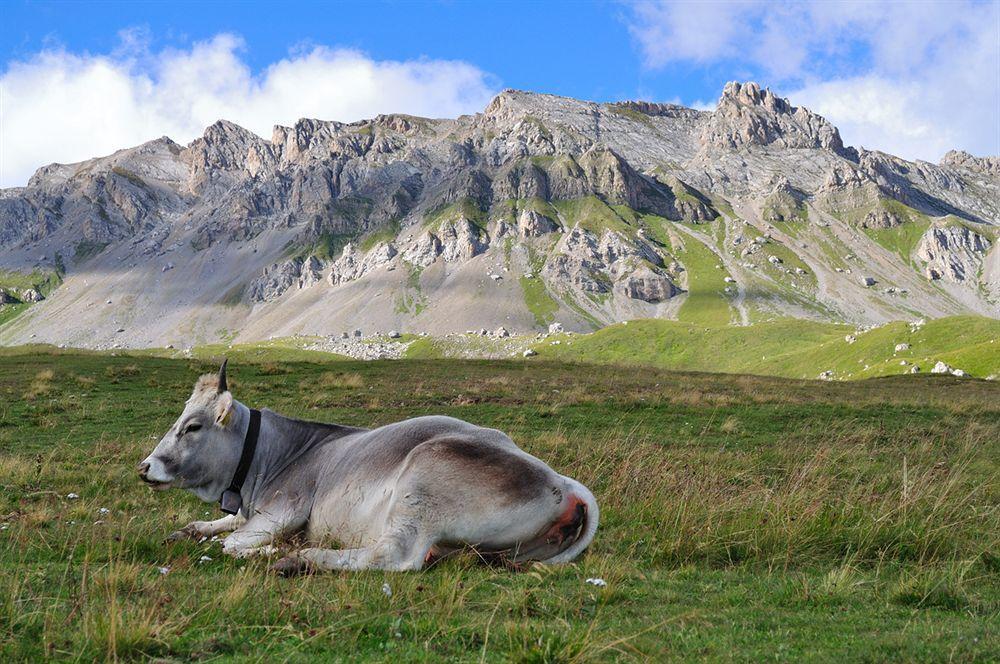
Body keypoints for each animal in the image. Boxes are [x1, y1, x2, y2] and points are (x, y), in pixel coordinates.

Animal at [137, 360, 596, 572]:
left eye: (193, 426)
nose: (145, 467)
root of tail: (564, 482)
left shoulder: (283, 509)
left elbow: (231, 543)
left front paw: (268, 549)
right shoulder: (253, 511)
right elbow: (218, 525)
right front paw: (191, 529)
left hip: (421, 483)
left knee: (393, 555)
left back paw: (296, 558)